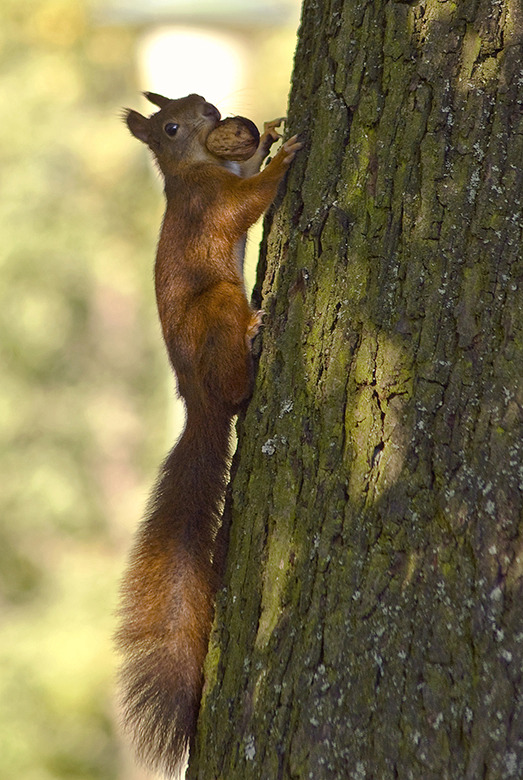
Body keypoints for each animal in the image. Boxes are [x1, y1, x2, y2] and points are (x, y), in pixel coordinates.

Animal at [116, 93, 300, 780]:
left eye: (190, 98)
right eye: (170, 125)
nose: (212, 108)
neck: (193, 168)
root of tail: (198, 405)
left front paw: (268, 132)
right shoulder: (211, 204)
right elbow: (248, 202)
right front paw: (285, 156)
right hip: (218, 304)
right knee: (237, 385)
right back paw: (253, 336)